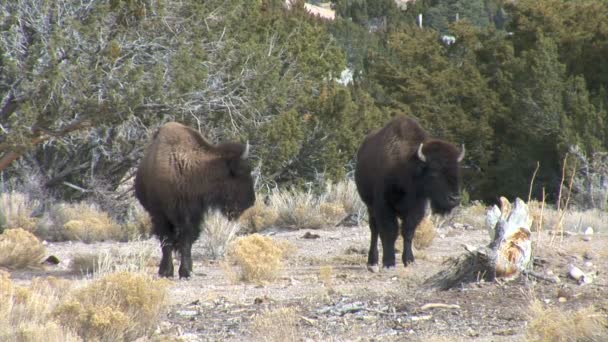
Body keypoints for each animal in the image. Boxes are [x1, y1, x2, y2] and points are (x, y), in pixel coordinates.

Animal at [134, 122, 255, 278]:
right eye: (243, 171)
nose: (251, 201)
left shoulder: (192, 214)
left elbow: (186, 240)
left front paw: (186, 271)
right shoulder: (160, 214)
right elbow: (167, 241)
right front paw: (166, 271)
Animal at [354, 116, 464, 272]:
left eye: (457, 171)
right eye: (434, 172)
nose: (454, 198)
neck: (406, 166)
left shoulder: (416, 207)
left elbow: (408, 231)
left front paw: (409, 260)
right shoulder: (384, 206)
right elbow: (389, 231)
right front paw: (389, 262)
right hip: (370, 206)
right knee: (374, 230)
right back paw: (372, 262)